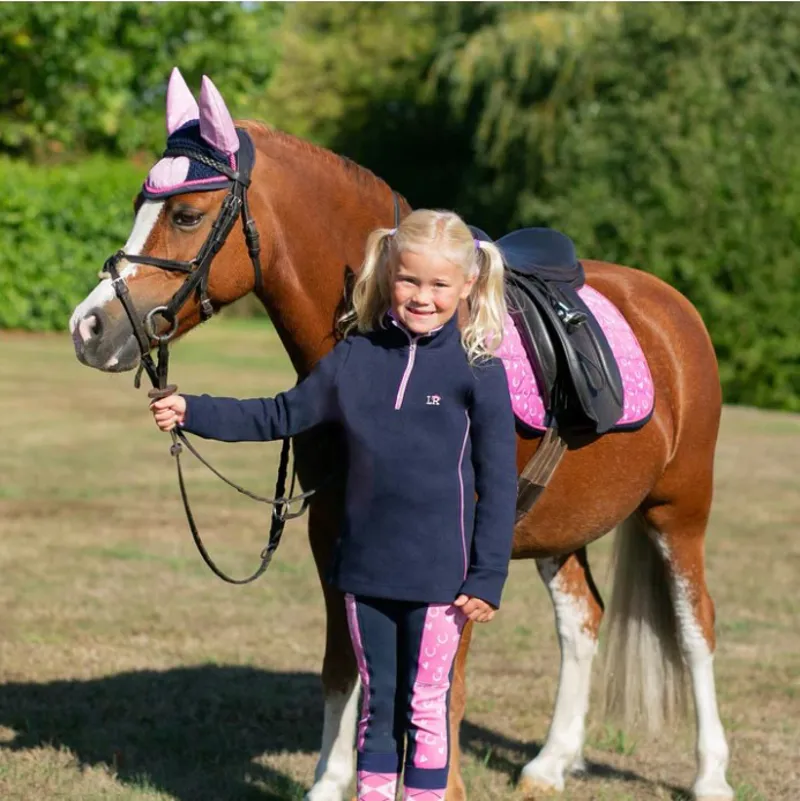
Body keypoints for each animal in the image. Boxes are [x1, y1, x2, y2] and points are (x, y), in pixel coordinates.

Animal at [69, 70, 733, 801]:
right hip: (565, 528)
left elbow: (441, 687)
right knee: (581, 620)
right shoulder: (334, 531)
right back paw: (551, 763)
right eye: (140, 202)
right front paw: (330, 782)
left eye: (186, 215)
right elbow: (347, 665)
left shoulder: (464, 555)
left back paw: (711, 774)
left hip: (679, 509)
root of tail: (670, 307)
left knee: (696, 627)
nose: (88, 327)